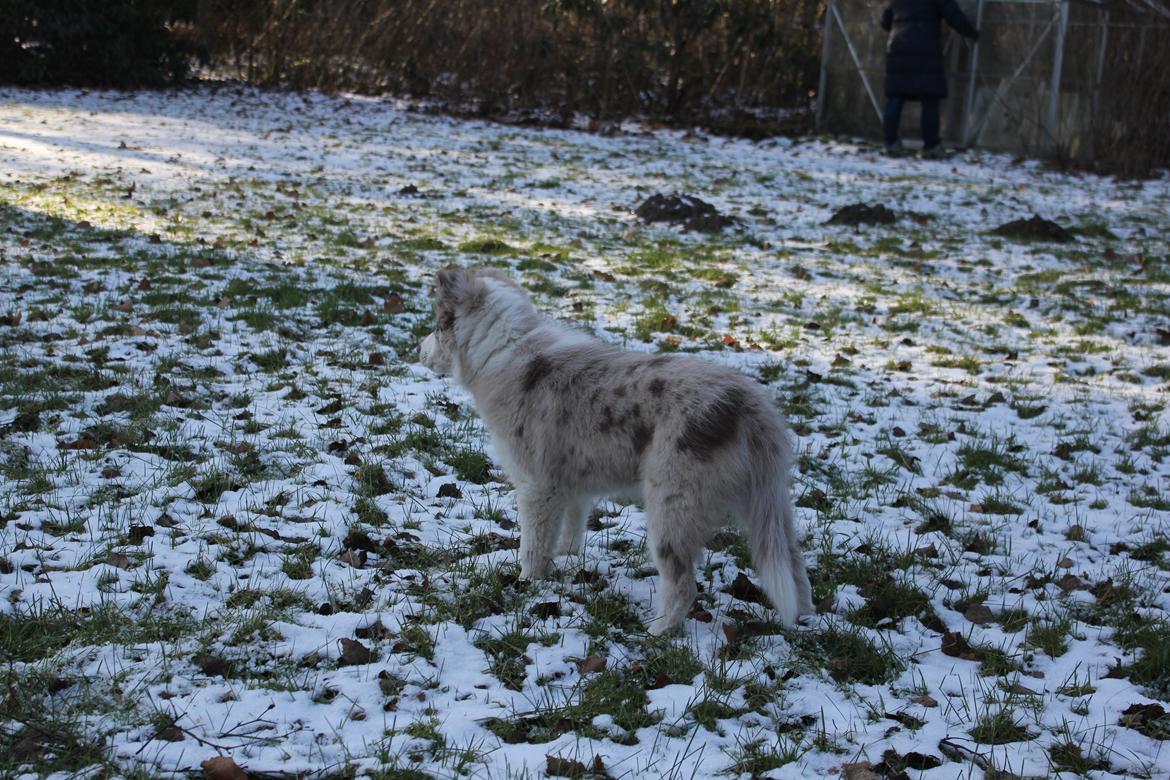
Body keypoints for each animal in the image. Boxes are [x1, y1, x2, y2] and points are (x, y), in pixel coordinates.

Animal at [421, 268, 814, 636]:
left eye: (437, 327)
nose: (417, 351)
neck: (504, 352)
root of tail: (749, 403)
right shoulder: (569, 485)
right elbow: (569, 530)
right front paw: (565, 559)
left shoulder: (535, 485)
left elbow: (532, 542)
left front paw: (527, 581)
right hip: (769, 503)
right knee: (794, 565)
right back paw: (803, 618)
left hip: (673, 506)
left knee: (683, 584)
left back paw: (656, 633)